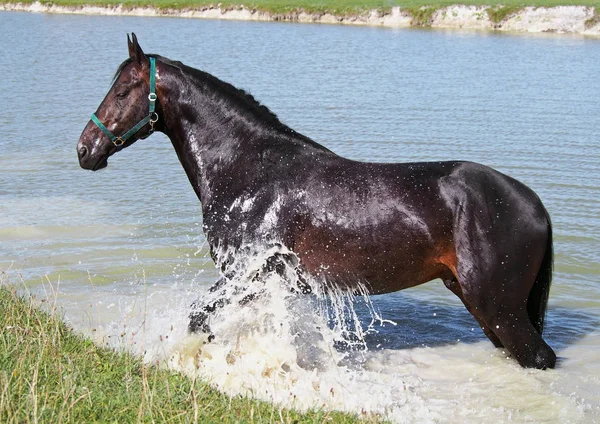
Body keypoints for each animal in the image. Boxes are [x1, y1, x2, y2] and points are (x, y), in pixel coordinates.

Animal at [77, 34, 556, 370]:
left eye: (122, 91)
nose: (85, 149)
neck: (252, 170)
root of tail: (534, 205)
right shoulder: (261, 283)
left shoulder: (245, 275)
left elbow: (199, 319)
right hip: (481, 304)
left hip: (499, 307)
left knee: (539, 358)